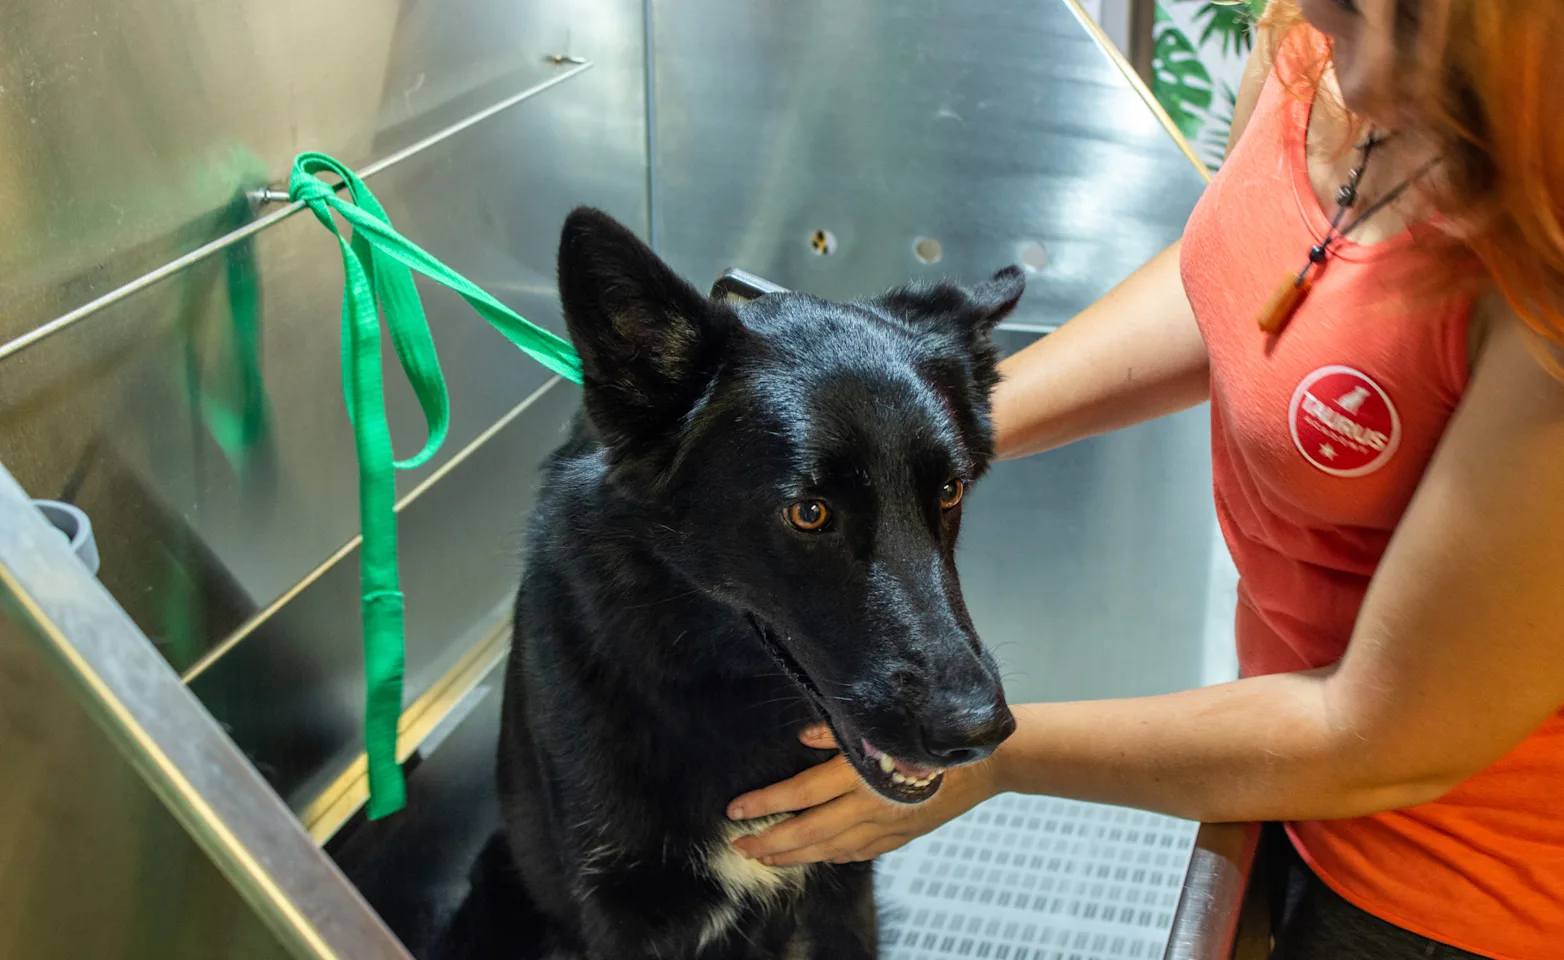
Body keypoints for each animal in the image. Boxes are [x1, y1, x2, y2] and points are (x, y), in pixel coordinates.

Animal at [494, 212, 1019, 960]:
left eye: (949, 492)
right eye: (809, 513)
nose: (980, 731)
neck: (716, 690)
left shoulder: (841, 892)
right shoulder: (626, 915)